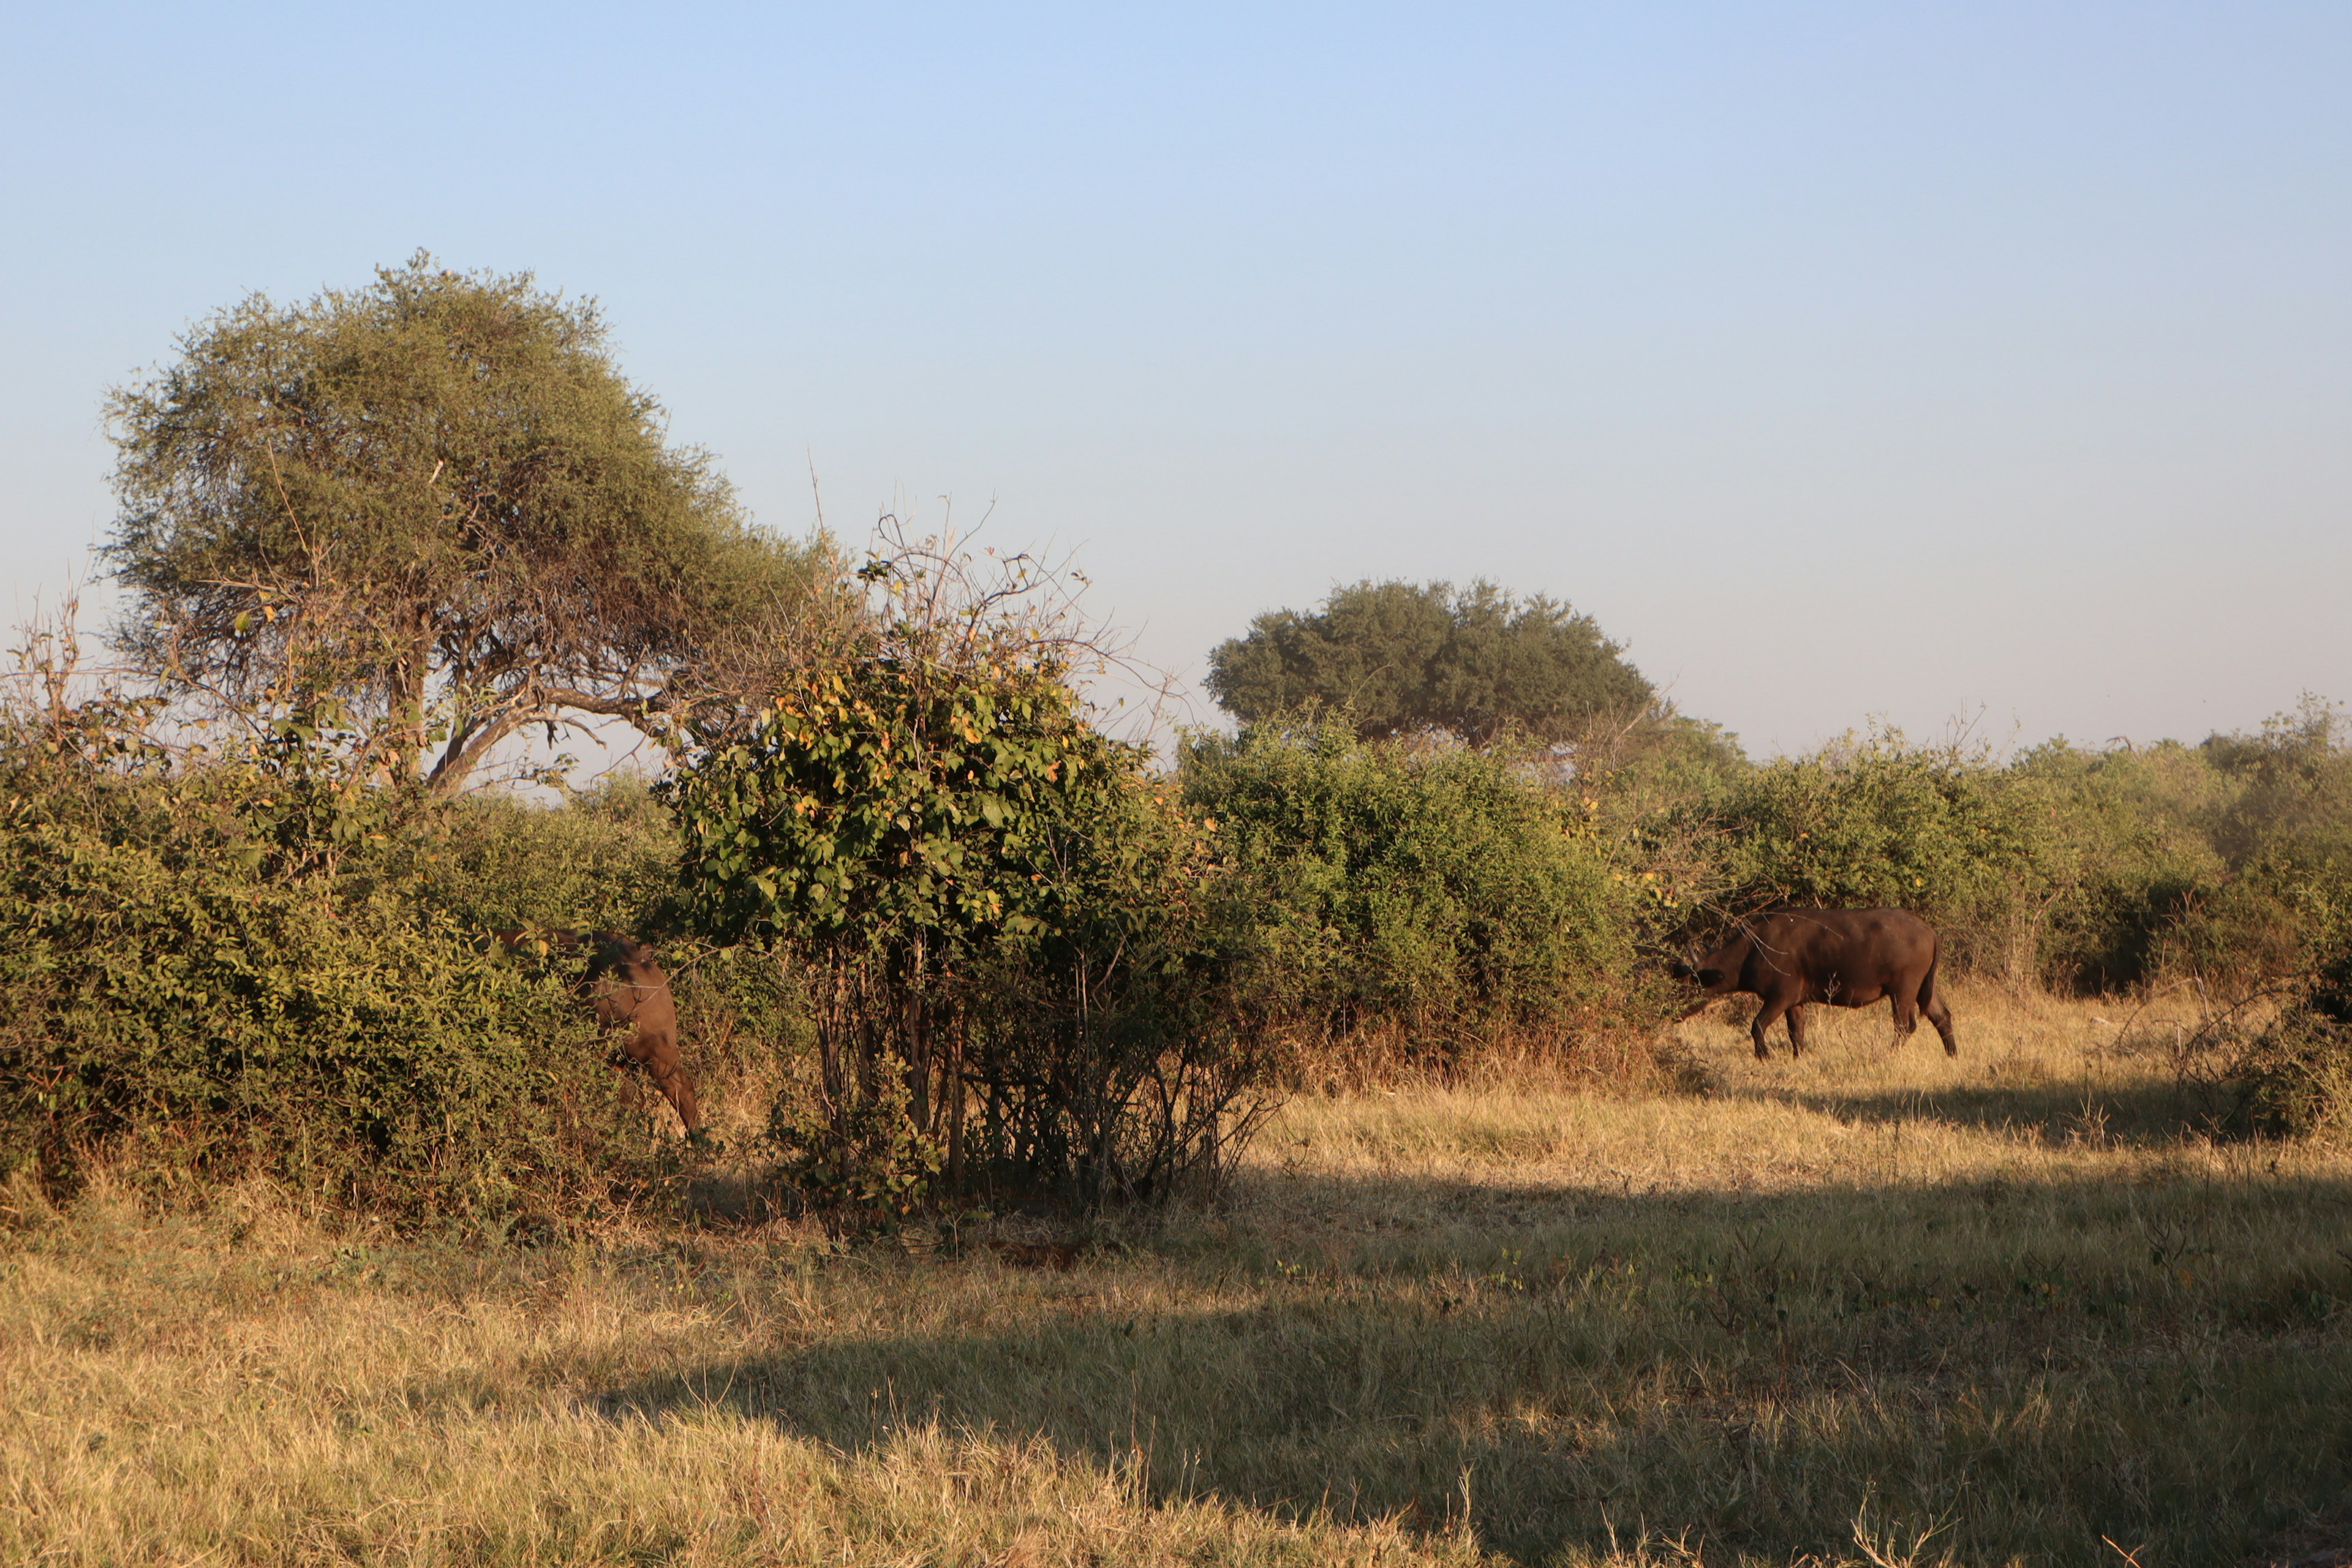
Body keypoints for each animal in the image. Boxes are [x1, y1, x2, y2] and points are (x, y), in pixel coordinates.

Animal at [1675, 907, 1966, 1067]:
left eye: (1691, 985)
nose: (1673, 1011)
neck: (1755, 948)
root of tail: (1929, 931)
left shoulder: (1780, 997)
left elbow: (1757, 1025)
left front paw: (1764, 1056)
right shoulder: (1795, 1002)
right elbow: (1796, 1032)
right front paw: (1798, 1057)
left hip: (1902, 990)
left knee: (1905, 1026)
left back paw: (1886, 1054)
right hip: (1924, 989)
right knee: (1942, 1016)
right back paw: (1952, 1055)